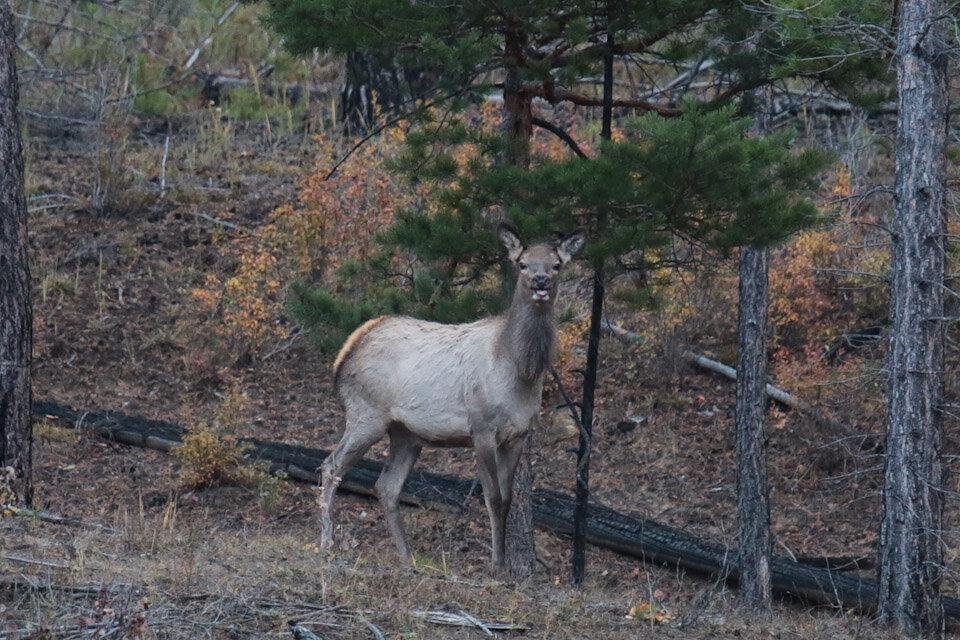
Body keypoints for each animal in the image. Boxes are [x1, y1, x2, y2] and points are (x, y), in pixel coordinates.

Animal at [320, 225, 584, 568]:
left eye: (556, 265)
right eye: (522, 263)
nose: (540, 282)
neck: (518, 372)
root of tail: (346, 351)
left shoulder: (519, 434)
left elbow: (508, 499)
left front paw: (504, 565)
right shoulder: (481, 427)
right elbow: (493, 498)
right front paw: (496, 565)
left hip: (405, 433)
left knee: (386, 486)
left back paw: (407, 559)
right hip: (366, 414)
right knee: (331, 466)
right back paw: (325, 543)